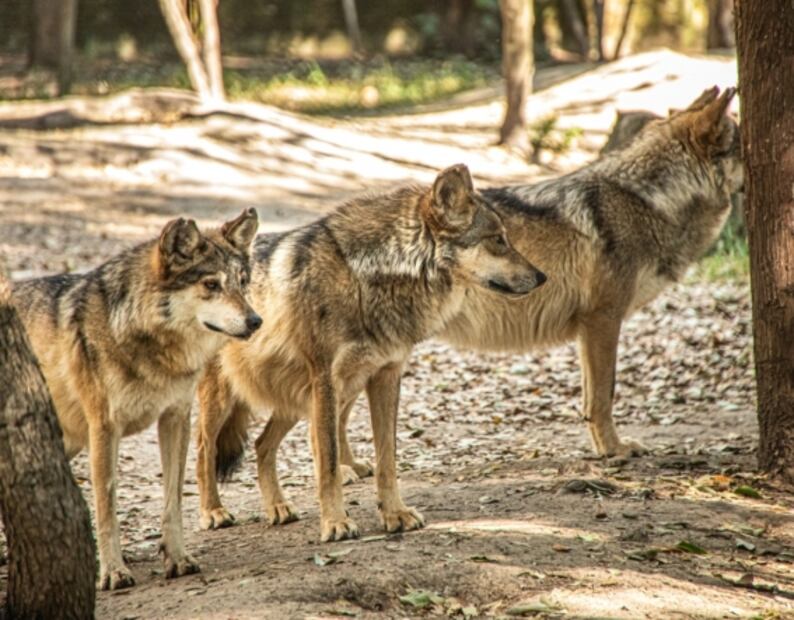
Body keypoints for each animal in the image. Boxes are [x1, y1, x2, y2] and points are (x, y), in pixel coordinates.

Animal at [12, 208, 261, 590]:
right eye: (211, 285)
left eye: (242, 282)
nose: (255, 320)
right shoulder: (104, 429)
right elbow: (106, 507)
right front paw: (113, 572)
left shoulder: (175, 418)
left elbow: (173, 500)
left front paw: (177, 559)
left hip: (64, 443)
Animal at [195, 164, 546, 540]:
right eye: (498, 239)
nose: (542, 277)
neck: (367, 275)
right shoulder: (326, 380)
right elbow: (329, 462)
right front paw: (335, 522)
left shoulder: (385, 376)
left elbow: (387, 458)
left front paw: (395, 514)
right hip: (229, 401)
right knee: (204, 450)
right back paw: (213, 512)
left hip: (301, 400)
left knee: (262, 445)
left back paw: (278, 508)